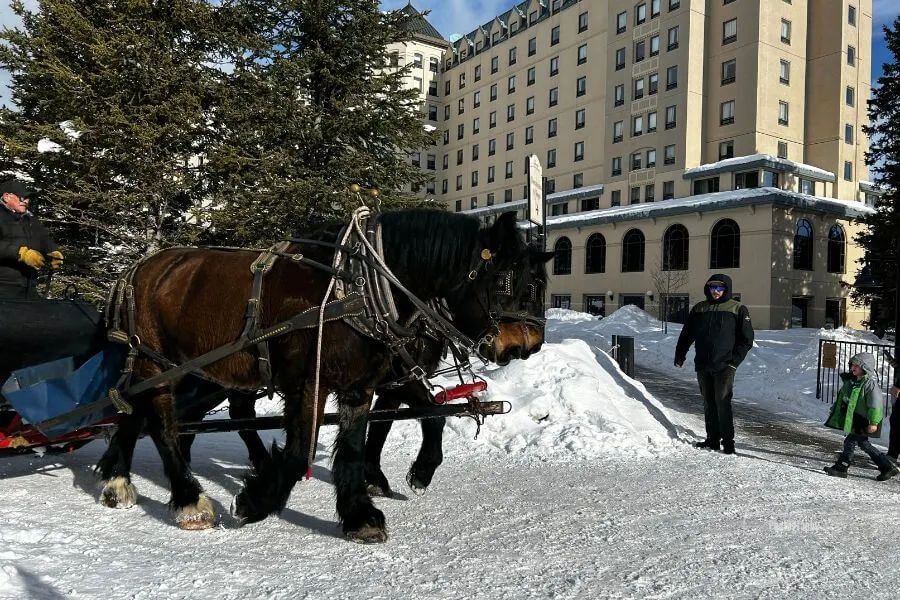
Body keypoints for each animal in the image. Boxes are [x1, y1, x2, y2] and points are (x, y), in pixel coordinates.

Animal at [96, 209, 548, 540]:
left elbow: (359, 443)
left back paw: (119, 477)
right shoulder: (311, 383)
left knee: (143, 413)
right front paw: (255, 501)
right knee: (162, 422)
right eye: (510, 283)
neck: (360, 291)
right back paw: (188, 497)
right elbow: (301, 452)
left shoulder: (362, 385)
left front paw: (361, 511)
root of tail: (138, 267)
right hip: (158, 364)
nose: (526, 346)